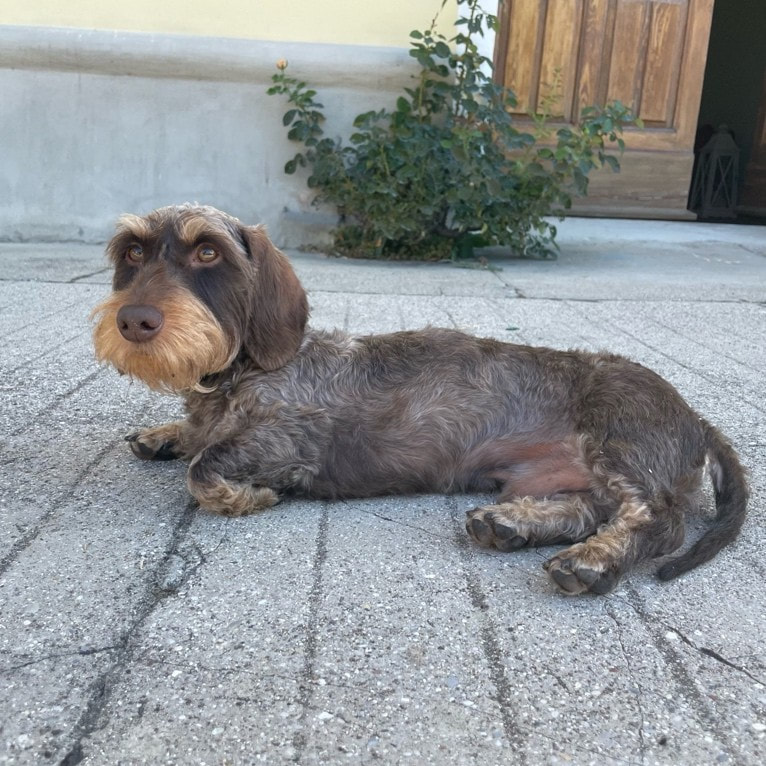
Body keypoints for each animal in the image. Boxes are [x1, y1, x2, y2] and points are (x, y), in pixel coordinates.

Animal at [91, 204, 749, 595]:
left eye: (208, 252)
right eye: (132, 253)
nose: (135, 321)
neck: (240, 373)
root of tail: (698, 419)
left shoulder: (292, 437)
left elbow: (205, 469)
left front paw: (244, 495)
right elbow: (194, 438)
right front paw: (165, 433)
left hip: (617, 436)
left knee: (658, 520)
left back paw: (595, 561)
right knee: (591, 509)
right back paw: (513, 524)